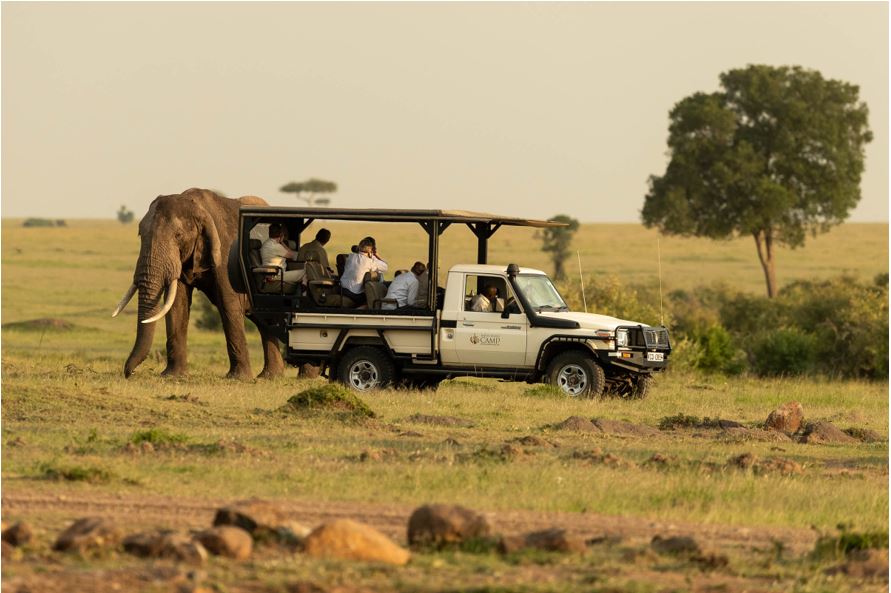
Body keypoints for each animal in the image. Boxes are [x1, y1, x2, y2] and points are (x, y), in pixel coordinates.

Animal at [112, 188, 286, 380]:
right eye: (140, 234)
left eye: (178, 236)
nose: (130, 373)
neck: (196, 205)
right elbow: (177, 305)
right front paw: (172, 376)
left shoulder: (225, 254)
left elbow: (228, 304)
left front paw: (238, 378)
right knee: (265, 322)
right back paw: (270, 376)